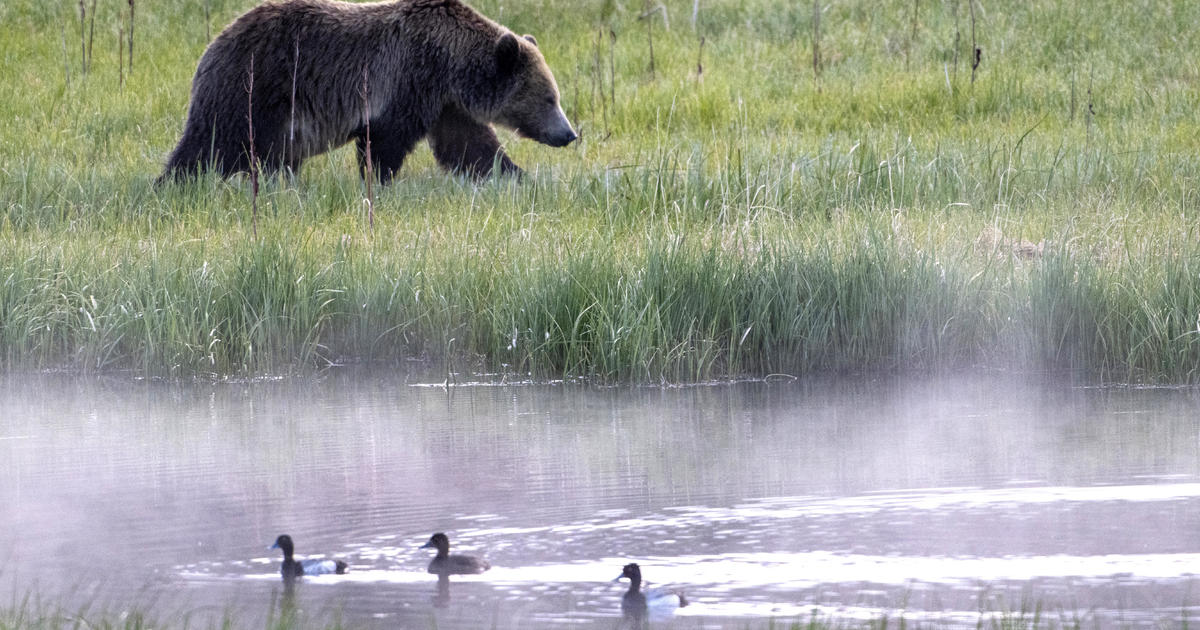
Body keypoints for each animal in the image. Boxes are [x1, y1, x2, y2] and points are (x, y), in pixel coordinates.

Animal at [159, 0, 576, 182]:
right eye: (549, 98)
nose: (569, 133)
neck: (450, 63)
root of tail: (214, 43)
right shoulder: (406, 81)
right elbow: (385, 141)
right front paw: (379, 180)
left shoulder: (444, 104)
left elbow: (470, 146)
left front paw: (517, 176)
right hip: (256, 87)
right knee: (210, 143)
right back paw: (174, 183)